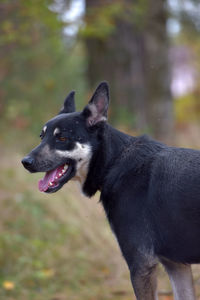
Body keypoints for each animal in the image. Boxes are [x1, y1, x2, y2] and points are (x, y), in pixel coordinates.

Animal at [21, 82, 200, 300]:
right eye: (42, 137)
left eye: (62, 137)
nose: (25, 162)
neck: (115, 162)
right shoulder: (177, 265)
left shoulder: (141, 264)